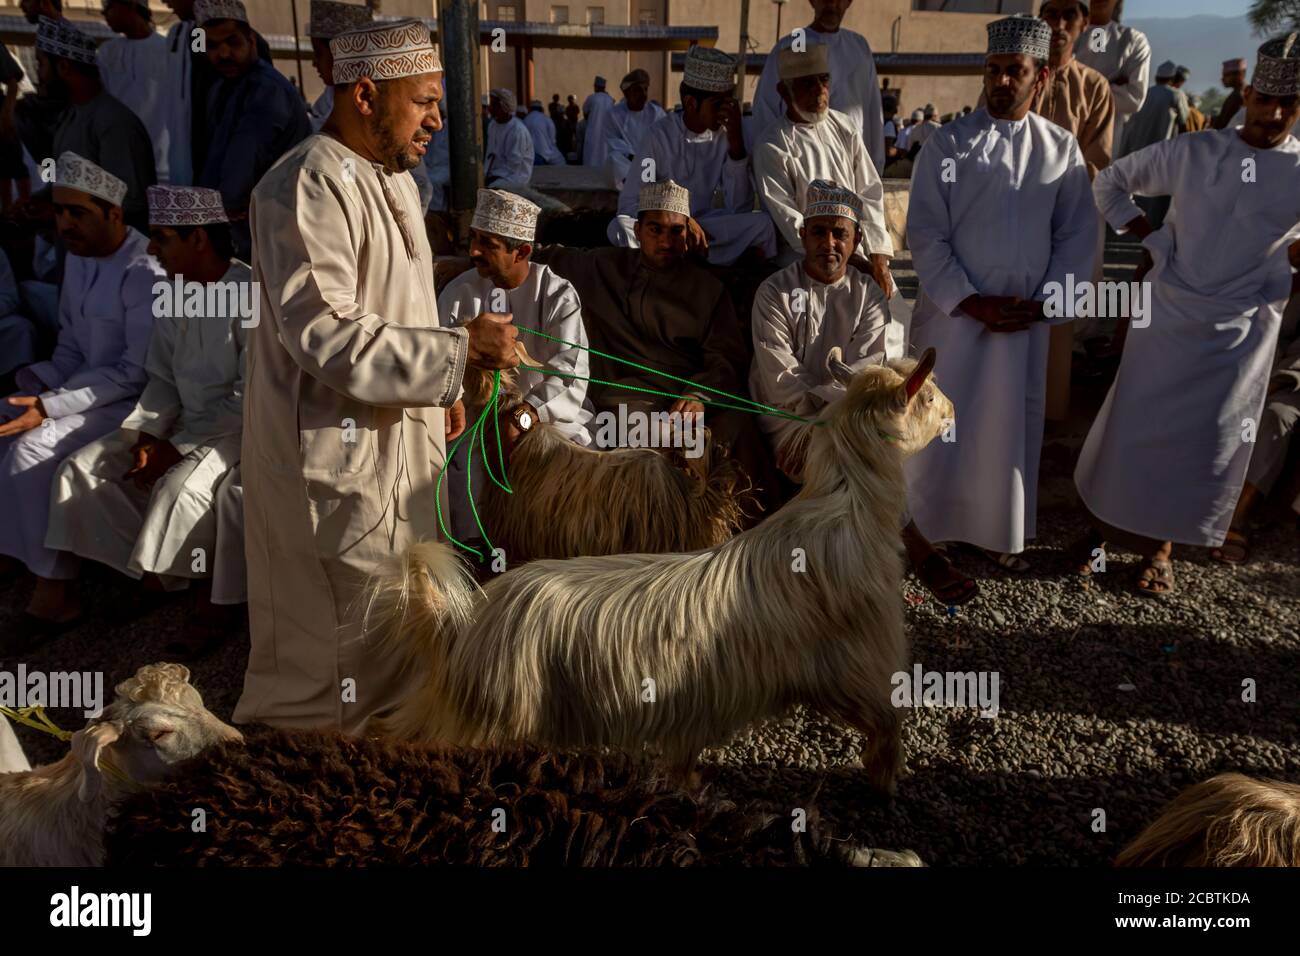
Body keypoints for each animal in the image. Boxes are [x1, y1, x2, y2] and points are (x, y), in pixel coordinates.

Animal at [366, 345, 956, 790]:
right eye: (927, 396)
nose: (951, 414)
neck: (848, 506)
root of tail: (462, 627)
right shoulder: (863, 667)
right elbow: (886, 732)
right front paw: (886, 781)